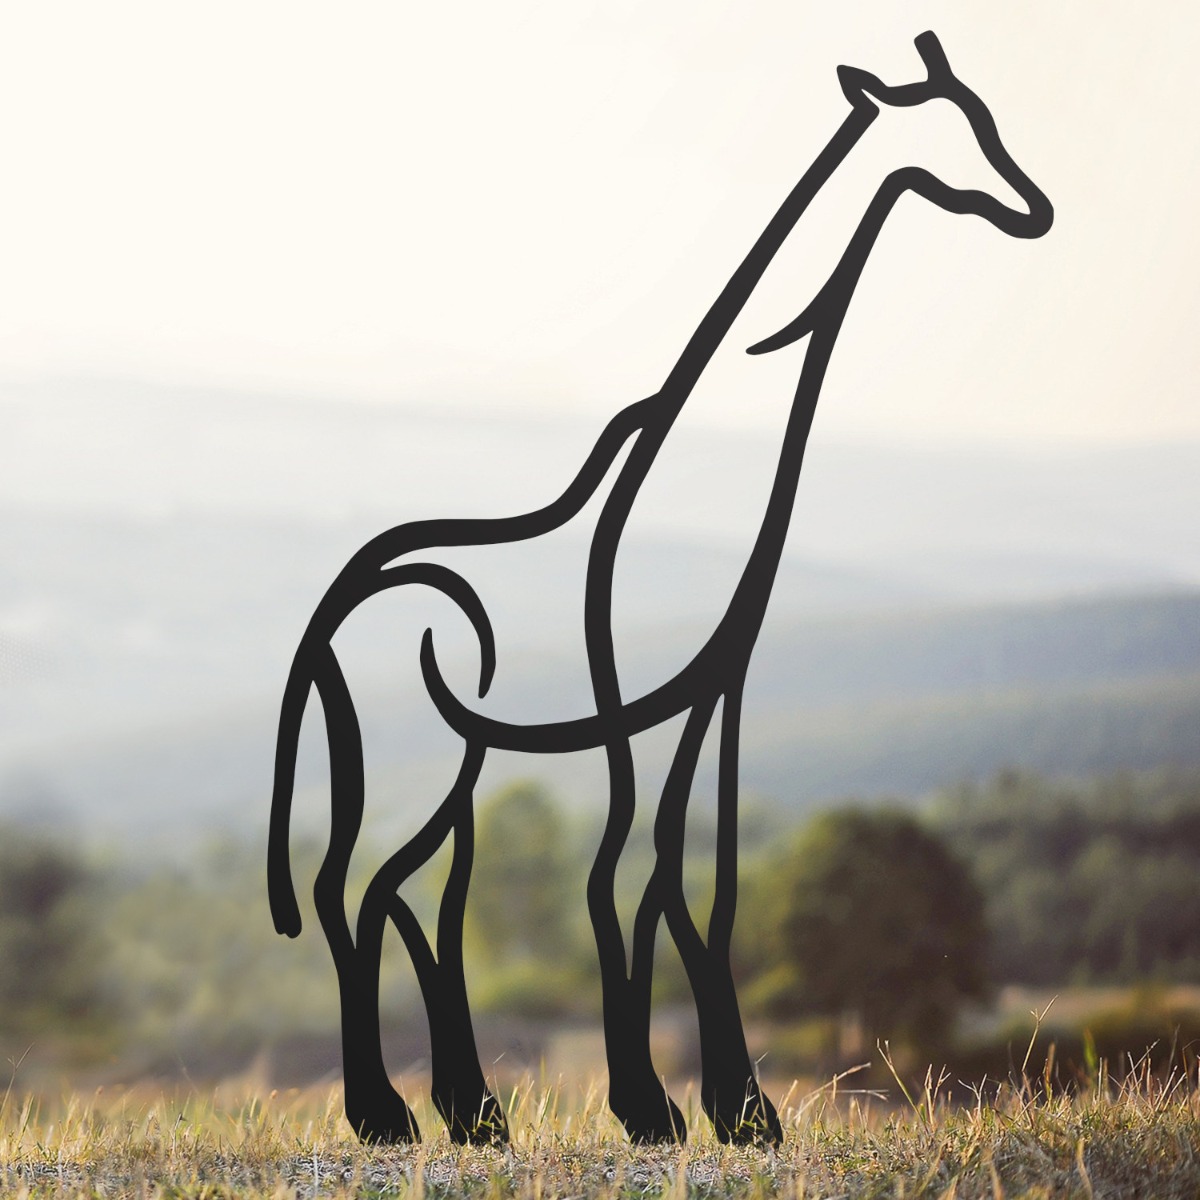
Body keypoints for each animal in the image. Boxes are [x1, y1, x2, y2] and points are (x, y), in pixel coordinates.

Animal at [268, 31, 1052, 1147]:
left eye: (988, 117)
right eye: (958, 129)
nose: (1034, 209)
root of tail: (334, 606)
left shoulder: (715, 690)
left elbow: (697, 881)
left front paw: (739, 1111)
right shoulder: (623, 709)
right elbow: (616, 876)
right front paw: (656, 1109)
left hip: (462, 752)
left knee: (412, 892)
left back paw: (470, 1115)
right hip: (383, 745)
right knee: (353, 889)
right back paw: (388, 1118)